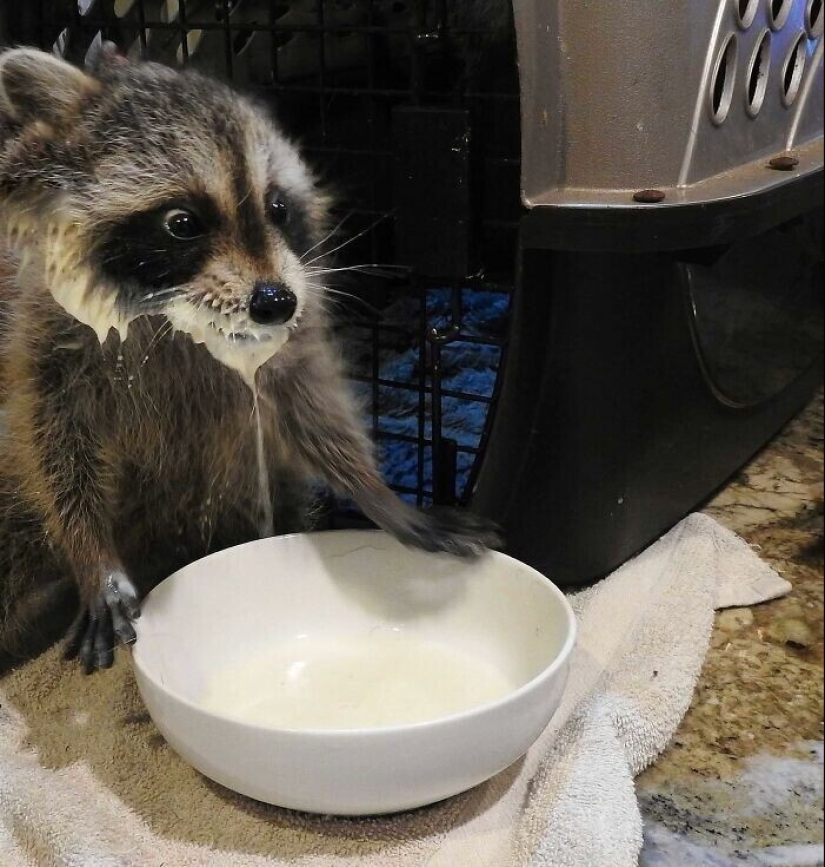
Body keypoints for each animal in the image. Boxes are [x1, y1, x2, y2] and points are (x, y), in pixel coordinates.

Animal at [0, 45, 498, 674]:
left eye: (278, 207)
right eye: (182, 223)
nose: (275, 303)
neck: (167, 315)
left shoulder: (292, 323)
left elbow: (308, 401)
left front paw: (377, 494)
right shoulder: (39, 332)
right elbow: (53, 438)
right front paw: (92, 556)